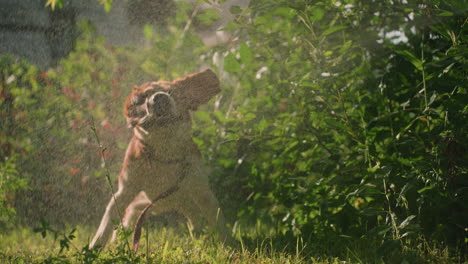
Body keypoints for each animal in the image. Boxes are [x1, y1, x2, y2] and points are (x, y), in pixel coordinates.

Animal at [89, 69, 227, 249]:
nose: (160, 97)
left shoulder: (202, 191)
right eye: (144, 96)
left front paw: (229, 243)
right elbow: (107, 222)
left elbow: (217, 219)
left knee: (193, 215)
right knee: (130, 214)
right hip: (147, 202)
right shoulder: (125, 191)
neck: (164, 155)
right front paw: (94, 248)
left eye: (172, 92)